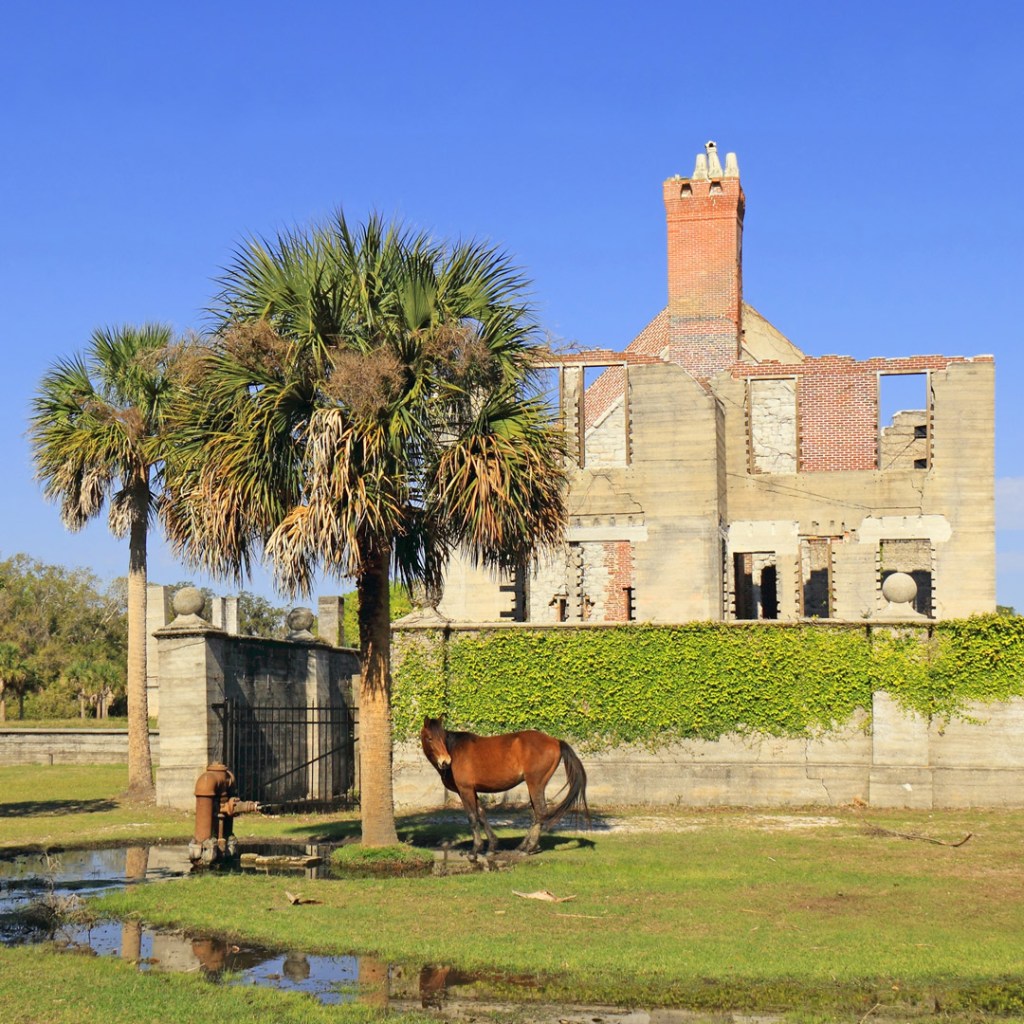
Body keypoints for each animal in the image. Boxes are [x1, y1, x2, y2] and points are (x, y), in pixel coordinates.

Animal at [419, 720, 589, 856]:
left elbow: (473, 817)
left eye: (442, 738)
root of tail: (555, 741)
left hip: (535, 783)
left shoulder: (465, 790)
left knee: (541, 812)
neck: (455, 750)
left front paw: (475, 849)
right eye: (430, 738)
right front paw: (492, 846)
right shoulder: (473, 790)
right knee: (536, 815)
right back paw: (523, 846)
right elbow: (482, 815)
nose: (445, 761)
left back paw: (528, 848)